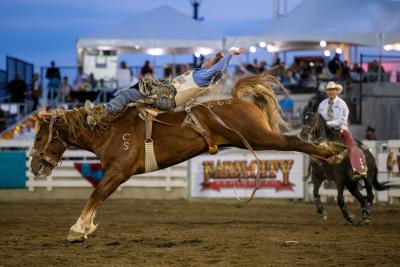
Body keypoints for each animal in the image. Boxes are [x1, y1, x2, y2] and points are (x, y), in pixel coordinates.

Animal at [29, 73, 340, 243]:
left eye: (38, 137)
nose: (33, 165)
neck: (108, 129)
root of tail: (239, 100)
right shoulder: (115, 174)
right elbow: (98, 197)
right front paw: (86, 228)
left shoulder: (119, 172)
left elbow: (96, 195)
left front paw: (77, 229)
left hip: (261, 137)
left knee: (296, 142)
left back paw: (332, 153)